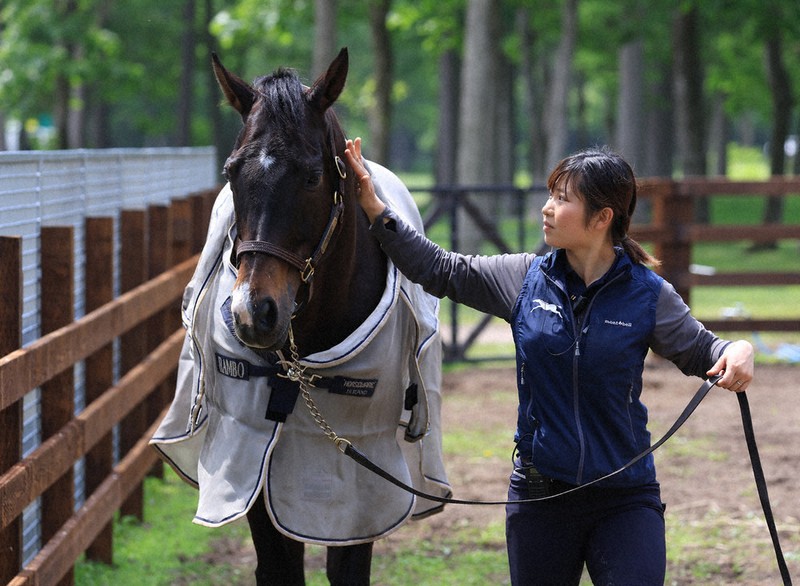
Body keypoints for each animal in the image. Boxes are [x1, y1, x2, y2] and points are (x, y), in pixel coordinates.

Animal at [152, 48, 450, 586]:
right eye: (231, 172)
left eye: (312, 176)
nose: (254, 312)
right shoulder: (254, 464)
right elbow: (278, 567)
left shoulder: (359, 481)